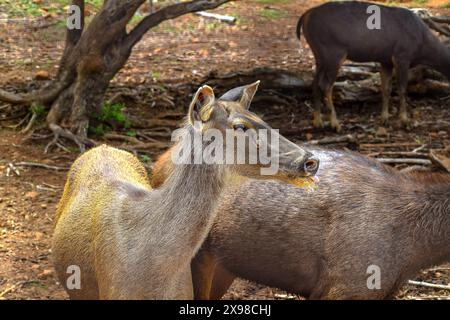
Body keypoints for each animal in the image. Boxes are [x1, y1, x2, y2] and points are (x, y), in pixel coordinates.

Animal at [296, 0, 450, 131]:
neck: (422, 48)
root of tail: (306, 16)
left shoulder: (386, 61)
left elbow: (386, 88)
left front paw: (384, 119)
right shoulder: (402, 55)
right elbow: (402, 89)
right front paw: (405, 122)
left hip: (319, 54)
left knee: (315, 82)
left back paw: (317, 122)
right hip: (333, 51)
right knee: (326, 85)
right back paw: (336, 124)